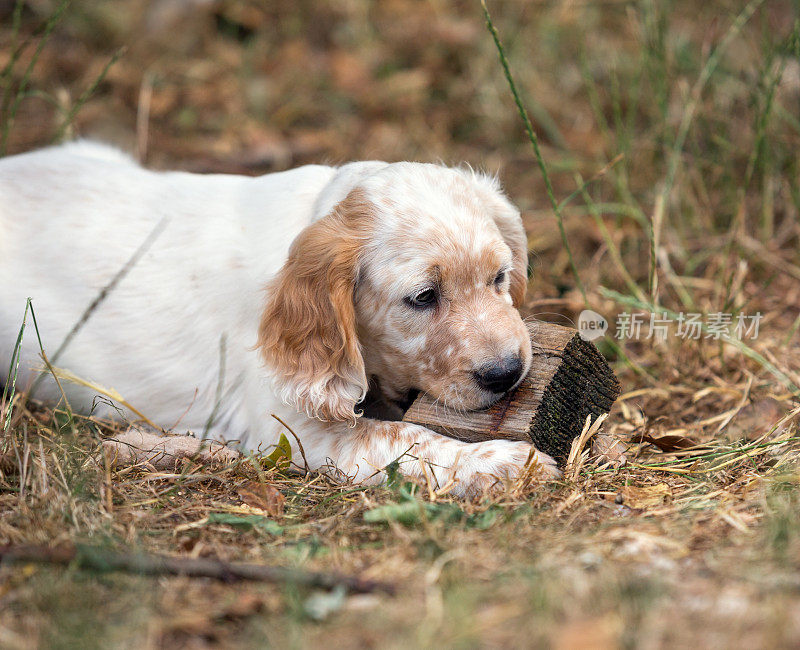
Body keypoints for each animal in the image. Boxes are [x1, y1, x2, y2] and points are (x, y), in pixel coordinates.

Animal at [0, 142, 556, 494]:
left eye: (500, 277)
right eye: (422, 298)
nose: (507, 373)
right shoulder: (296, 427)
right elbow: (405, 437)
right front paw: (507, 463)